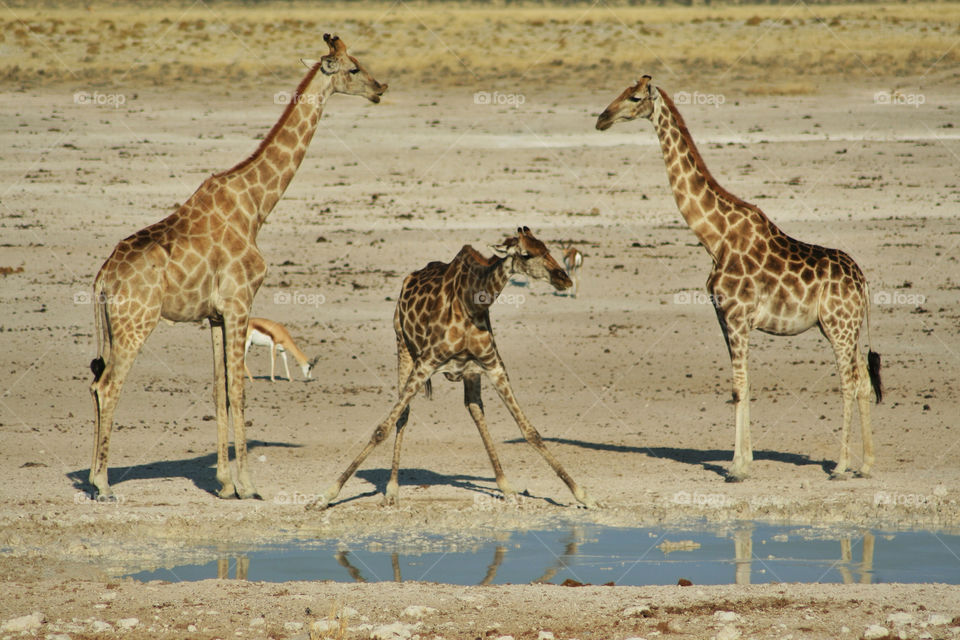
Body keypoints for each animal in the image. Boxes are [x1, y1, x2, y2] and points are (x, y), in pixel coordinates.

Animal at [86, 33, 386, 500]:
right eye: (354, 68)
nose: (380, 89)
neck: (256, 206)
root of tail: (102, 278)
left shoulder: (214, 315)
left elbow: (218, 392)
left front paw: (225, 484)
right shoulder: (240, 303)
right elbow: (240, 391)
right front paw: (249, 486)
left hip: (114, 327)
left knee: (96, 383)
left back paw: (93, 478)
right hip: (137, 323)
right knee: (108, 386)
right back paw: (103, 484)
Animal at [310, 228, 592, 512]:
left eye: (547, 248)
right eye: (526, 254)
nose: (564, 279)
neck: (473, 304)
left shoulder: (493, 365)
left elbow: (530, 431)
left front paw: (582, 494)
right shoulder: (426, 362)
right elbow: (382, 429)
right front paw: (325, 496)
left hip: (469, 371)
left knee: (475, 409)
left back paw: (507, 487)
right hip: (403, 347)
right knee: (404, 414)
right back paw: (391, 491)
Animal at [596, 76, 880, 480]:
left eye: (634, 98)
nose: (601, 119)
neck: (715, 237)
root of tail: (864, 283)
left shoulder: (736, 317)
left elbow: (738, 386)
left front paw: (736, 467)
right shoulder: (725, 318)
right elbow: (742, 386)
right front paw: (745, 461)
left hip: (839, 327)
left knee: (849, 382)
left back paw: (841, 465)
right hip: (844, 328)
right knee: (863, 380)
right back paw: (866, 464)